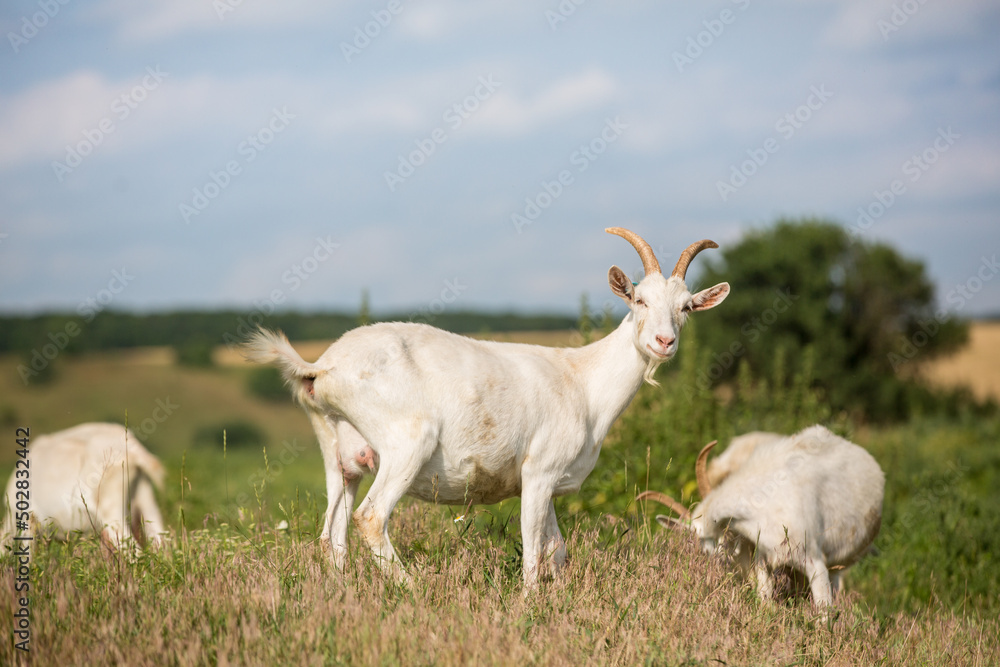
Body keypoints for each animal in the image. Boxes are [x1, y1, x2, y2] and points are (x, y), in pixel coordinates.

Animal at [244, 228, 730, 588]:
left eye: (686, 307)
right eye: (639, 299)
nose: (664, 342)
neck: (582, 381)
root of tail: (322, 366)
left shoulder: (547, 481)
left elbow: (557, 549)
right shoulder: (539, 472)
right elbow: (534, 550)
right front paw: (531, 604)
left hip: (339, 455)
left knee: (332, 533)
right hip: (406, 443)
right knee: (370, 518)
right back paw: (413, 588)